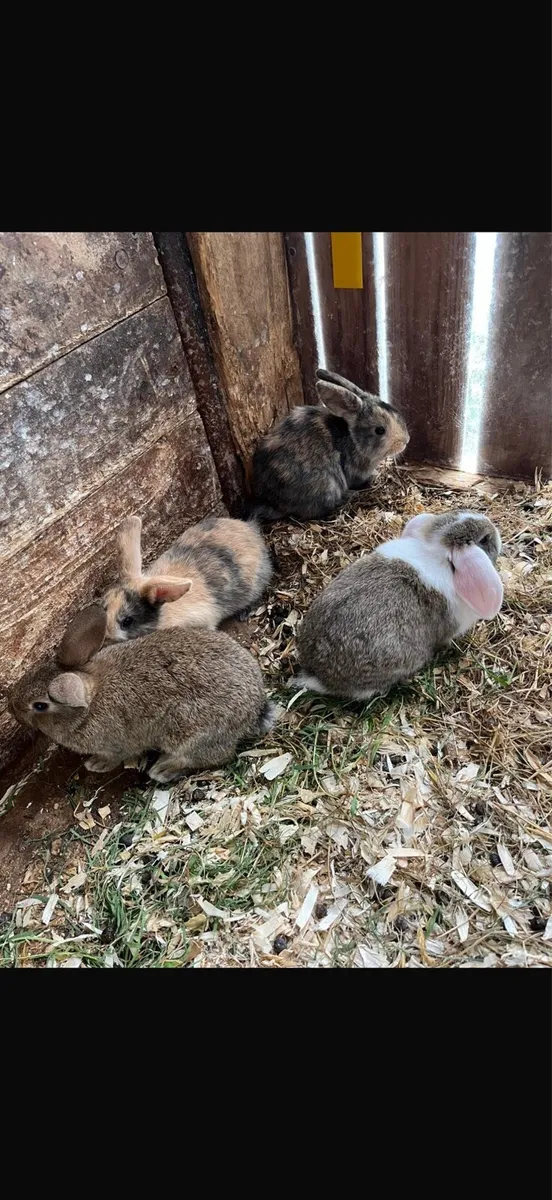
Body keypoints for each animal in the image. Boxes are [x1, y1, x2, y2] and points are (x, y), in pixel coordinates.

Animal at [7, 604, 277, 782]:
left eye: (39, 706)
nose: (12, 708)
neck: (90, 701)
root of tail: (254, 711)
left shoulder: (115, 746)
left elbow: (114, 757)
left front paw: (95, 764)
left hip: (191, 734)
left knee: (211, 757)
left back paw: (162, 770)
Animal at [251, 367, 409, 521]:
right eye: (379, 430)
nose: (405, 441)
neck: (353, 439)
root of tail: (274, 503)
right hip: (327, 485)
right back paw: (349, 495)